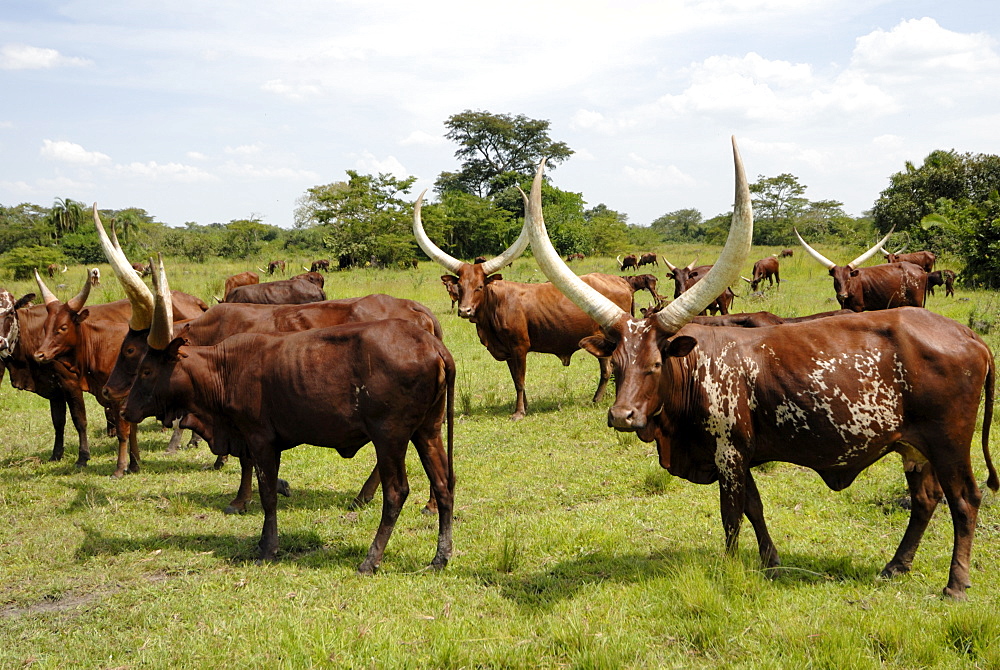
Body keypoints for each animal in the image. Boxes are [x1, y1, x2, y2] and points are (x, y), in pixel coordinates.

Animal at [121, 262, 458, 572]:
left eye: (146, 369)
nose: (126, 409)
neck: (224, 368)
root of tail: (431, 343)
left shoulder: (259, 440)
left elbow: (268, 494)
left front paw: (268, 547)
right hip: (427, 431)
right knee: (443, 484)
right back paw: (439, 557)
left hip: (390, 437)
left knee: (396, 492)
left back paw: (371, 558)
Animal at [414, 189, 632, 420]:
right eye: (460, 286)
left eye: (480, 286)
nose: (465, 310)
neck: (495, 306)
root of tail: (621, 282)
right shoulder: (508, 351)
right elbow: (516, 380)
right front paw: (524, 406)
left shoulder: (519, 347)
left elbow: (519, 380)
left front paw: (518, 412)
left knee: (607, 369)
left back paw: (598, 399)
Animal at [796, 228, 928, 312]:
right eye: (836, 279)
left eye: (848, 279)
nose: (842, 295)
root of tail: (919, 269)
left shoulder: (857, 308)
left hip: (917, 302)